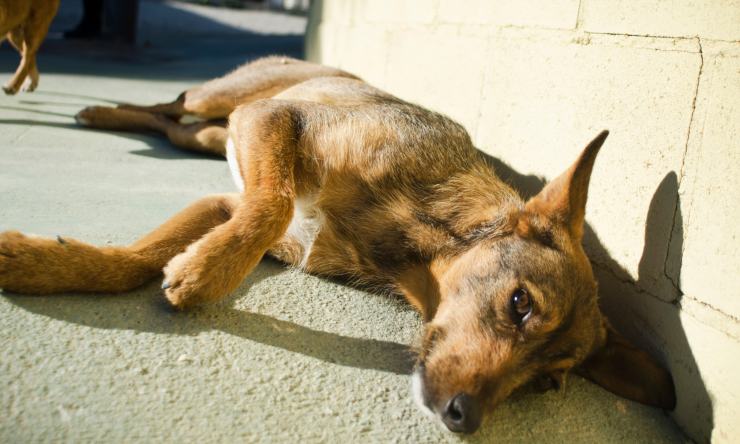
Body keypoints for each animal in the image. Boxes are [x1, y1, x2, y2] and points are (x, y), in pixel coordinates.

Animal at [0, 57, 676, 436]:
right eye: (520, 304)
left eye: (547, 385)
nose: (464, 419)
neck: (412, 238)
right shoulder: (274, 123)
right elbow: (269, 205)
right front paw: (204, 272)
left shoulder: (233, 206)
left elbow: (141, 258)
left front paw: (43, 263)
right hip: (231, 100)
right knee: (169, 102)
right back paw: (100, 111)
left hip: (214, 131)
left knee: (172, 124)